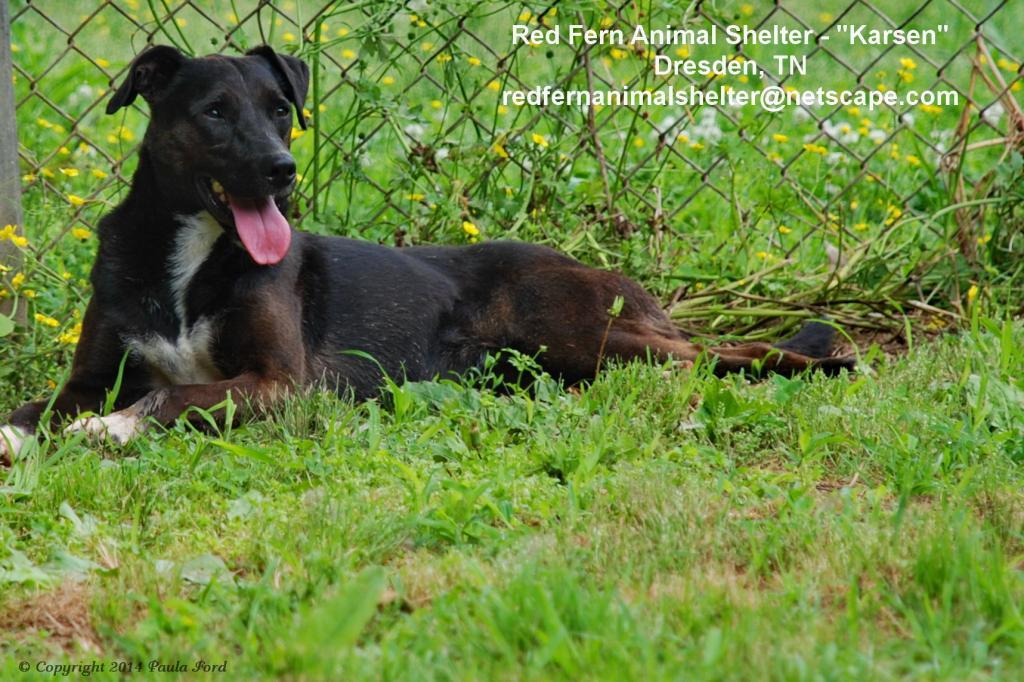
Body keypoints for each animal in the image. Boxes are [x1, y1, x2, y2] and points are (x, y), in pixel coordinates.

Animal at [0, 45, 851, 458]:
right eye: (214, 111)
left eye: (280, 109)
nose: (283, 170)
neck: (192, 256)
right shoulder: (92, 376)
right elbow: (35, 407)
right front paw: (22, 436)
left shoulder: (281, 384)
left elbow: (173, 399)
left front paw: (110, 431)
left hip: (579, 327)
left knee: (721, 354)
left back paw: (827, 360)